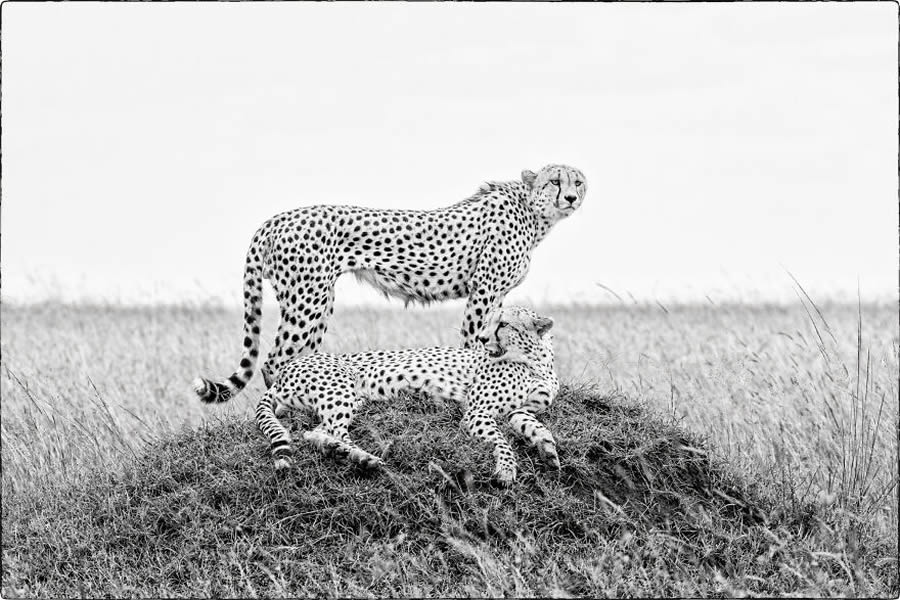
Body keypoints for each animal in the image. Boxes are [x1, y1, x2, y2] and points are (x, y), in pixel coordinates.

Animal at [192, 163, 584, 404]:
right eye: (555, 181)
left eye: (577, 181)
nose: (571, 197)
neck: (532, 211)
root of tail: (275, 219)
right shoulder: (484, 290)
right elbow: (476, 338)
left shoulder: (497, 294)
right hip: (309, 299)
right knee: (274, 360)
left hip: (314, 300)